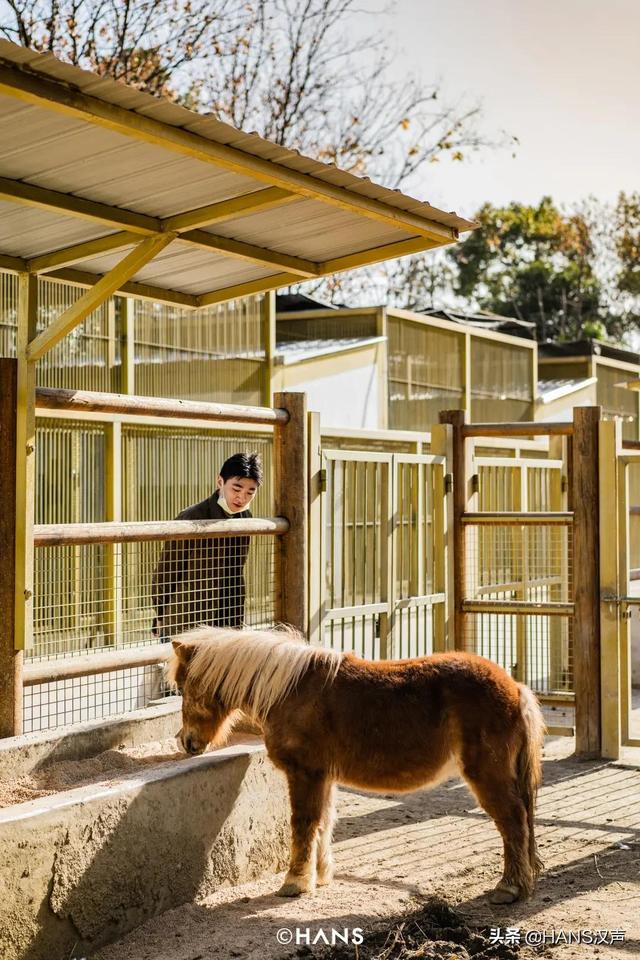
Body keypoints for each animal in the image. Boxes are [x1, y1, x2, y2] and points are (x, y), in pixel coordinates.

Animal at [168, 628, 544, 904]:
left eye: (184, 688)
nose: (186, 741)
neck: (291, 691)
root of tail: (516, 689)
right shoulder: (323, 777)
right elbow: (323, 823)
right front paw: (319, 876)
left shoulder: (305, 773)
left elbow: (303, 823)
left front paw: (295, 882)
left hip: (488, 776)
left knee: (512, 821)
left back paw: (508, 889)